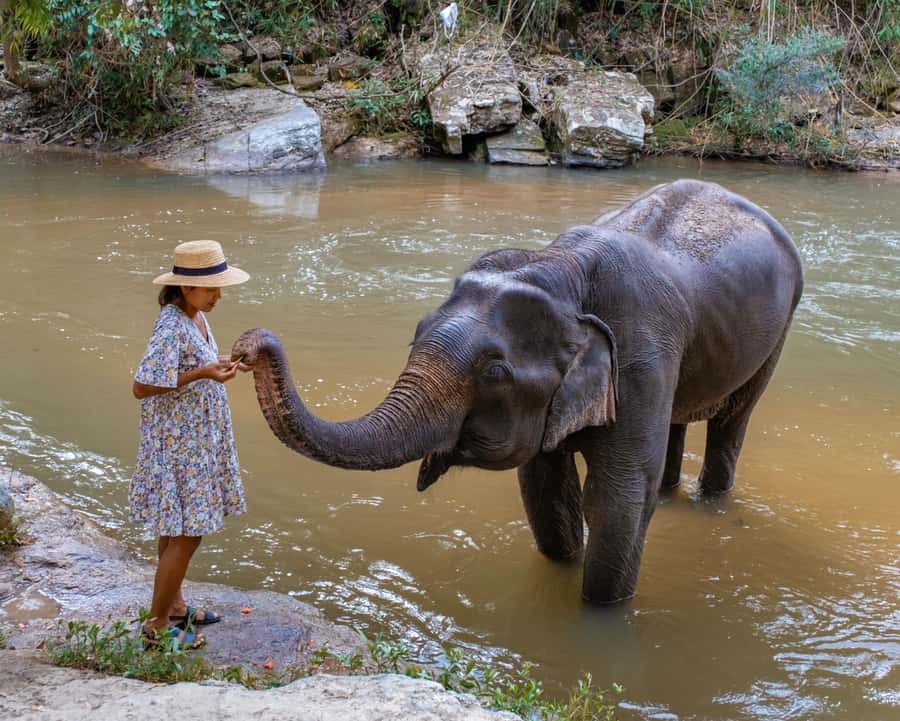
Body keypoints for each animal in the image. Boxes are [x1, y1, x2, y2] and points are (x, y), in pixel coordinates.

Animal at [232, 179, 804, 604]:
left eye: (494, 371)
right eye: (415, 334)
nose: (248, 345)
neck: (561, 269)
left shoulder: (641, 358)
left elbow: (618, 498)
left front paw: (600, 615)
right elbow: (544, 487)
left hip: (777, 333)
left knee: (733, 420)